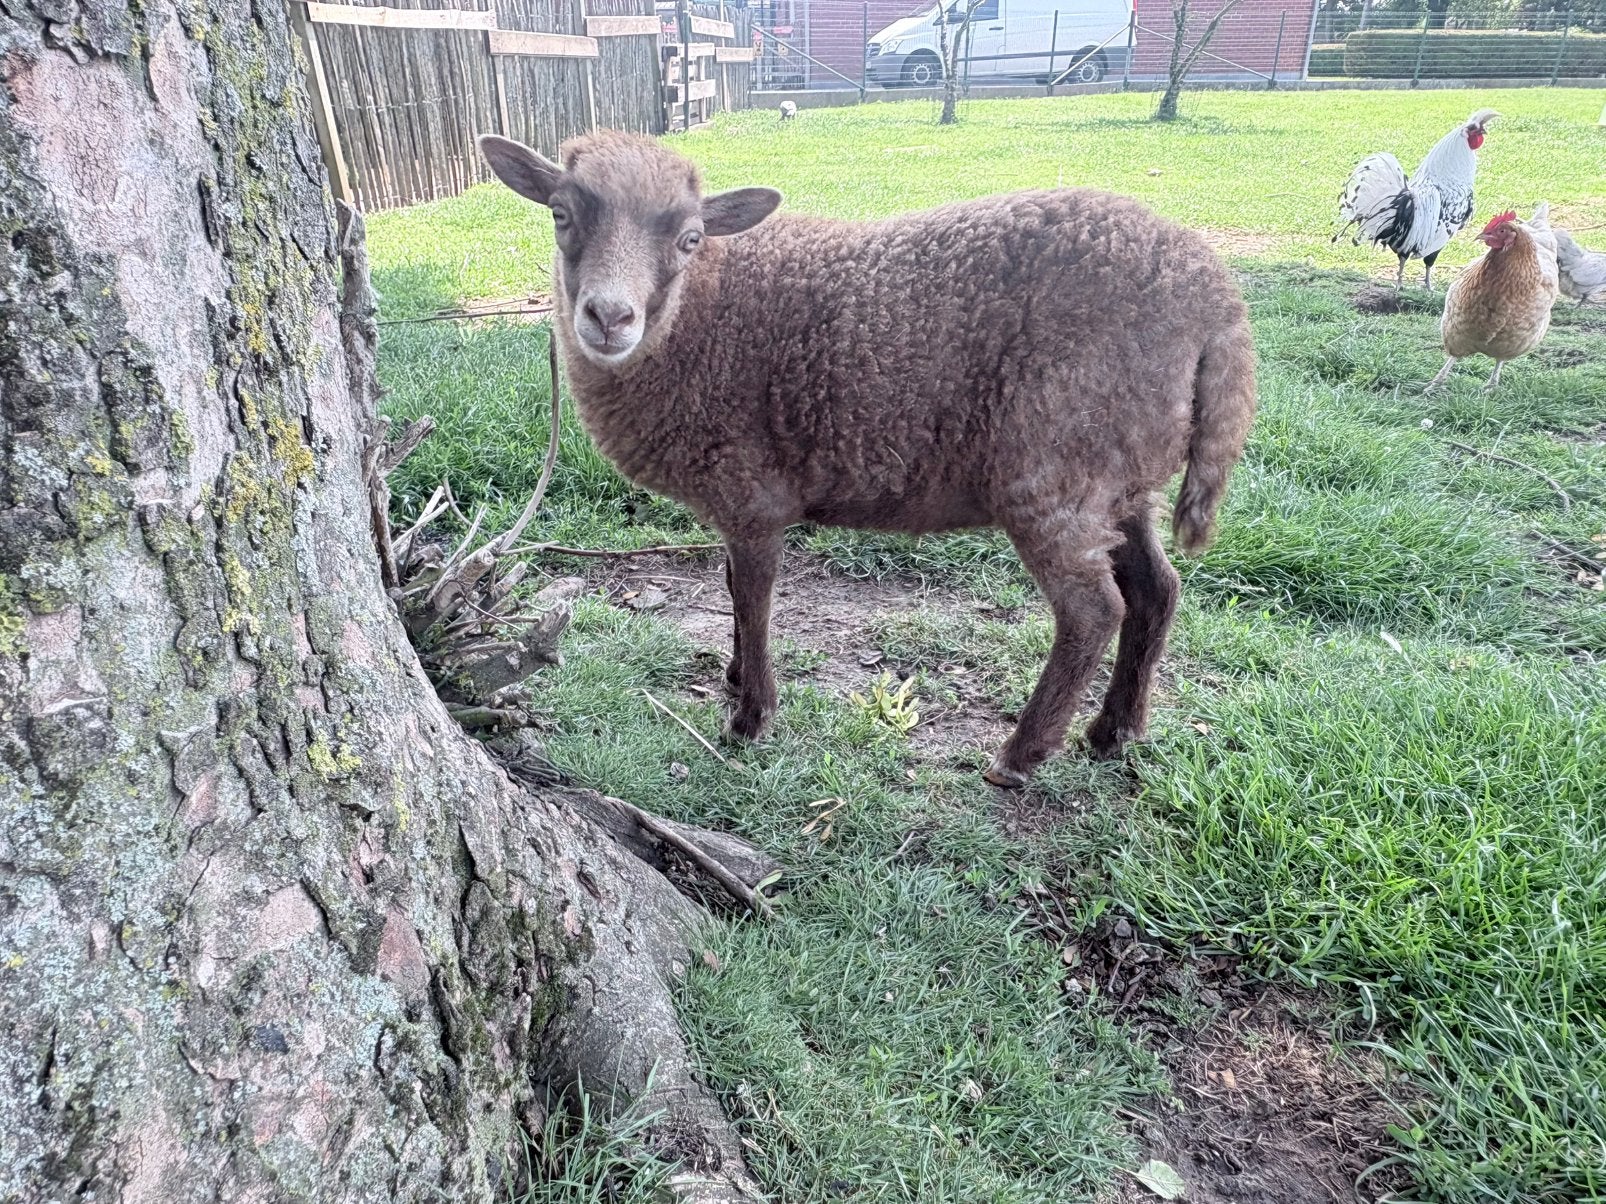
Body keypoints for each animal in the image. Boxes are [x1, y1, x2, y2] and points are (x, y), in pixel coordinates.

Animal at [478, 131, 1257, 785]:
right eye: (560, 214)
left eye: (690, 237)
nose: (610, 318)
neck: (703, 315)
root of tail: (1217, 301)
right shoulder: (733, 503)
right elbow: (729, 586)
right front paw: (733, 677)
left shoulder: (752, 496)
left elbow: (753, 597)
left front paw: (750, 716)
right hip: (1121, 479)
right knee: (1158, 589)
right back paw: (1114, 731)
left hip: (1056, 468)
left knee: (1093, 610)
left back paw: (1022, 754)